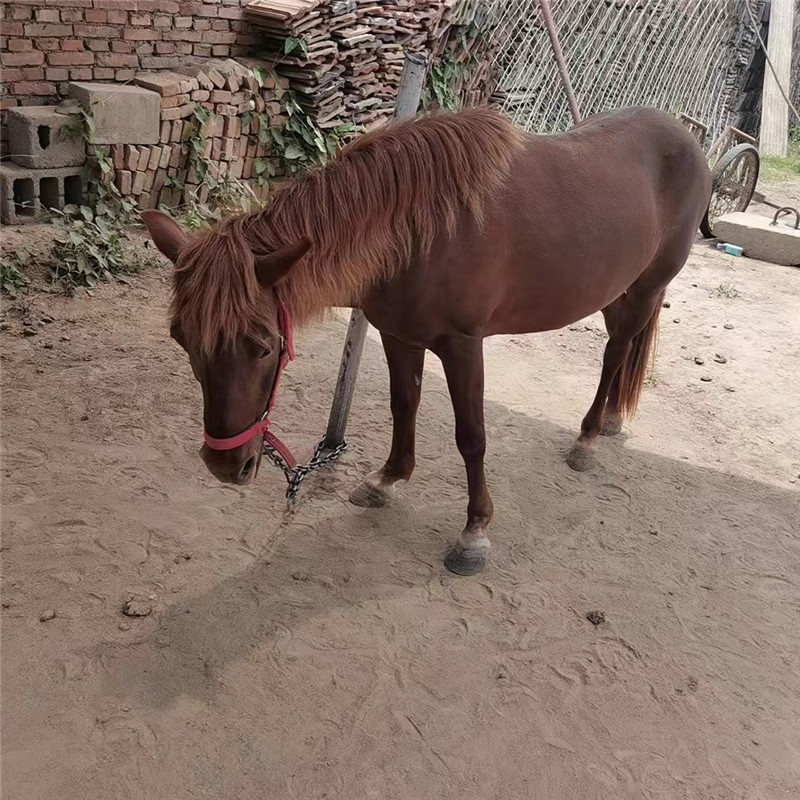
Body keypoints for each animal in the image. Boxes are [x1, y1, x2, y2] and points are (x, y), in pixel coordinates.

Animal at [142, 106, 711, 576]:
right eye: (181, 340)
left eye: (262, 345)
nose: (225, 466)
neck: (422, 227)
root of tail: (686, 135)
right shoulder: (398, 335)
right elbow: (404, 404)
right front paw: (386, 479)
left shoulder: (462, 345)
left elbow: (471, 436)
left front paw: (474, 533)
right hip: (621, 290)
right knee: (625, 349)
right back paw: (612, 420)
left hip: (646, 288)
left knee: (616, 353)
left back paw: (587, 438)